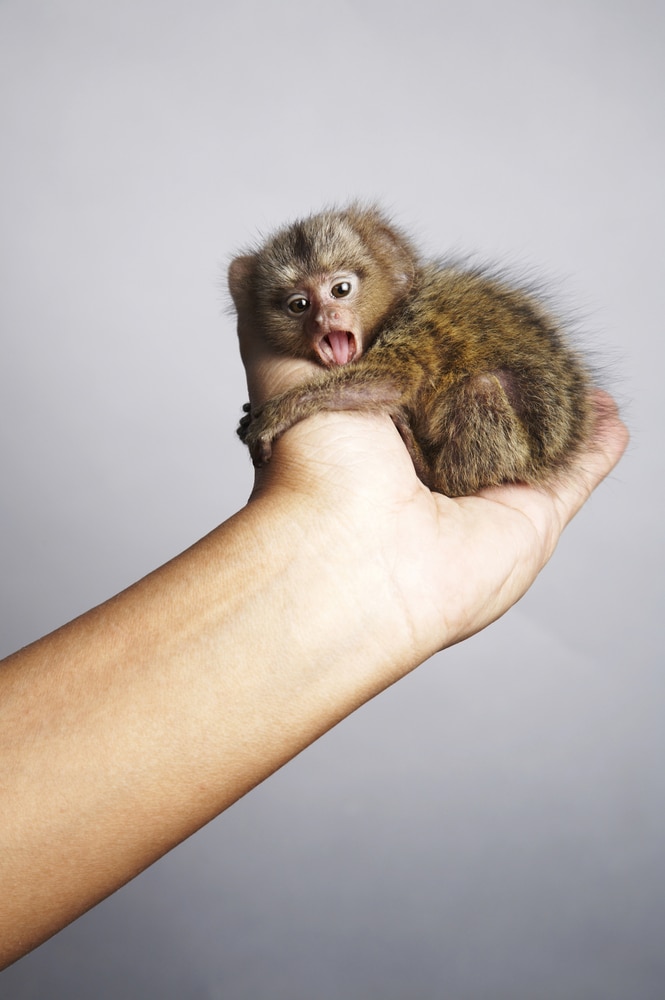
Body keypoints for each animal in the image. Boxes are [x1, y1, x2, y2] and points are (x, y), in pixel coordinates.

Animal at [228, 204, 593, 497]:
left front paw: (282, 410)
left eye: (340, 290)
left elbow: (393, 379)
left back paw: (432, 475)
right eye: (299, 305)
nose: (324, 318)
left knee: (482, 388)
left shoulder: (416, 325)